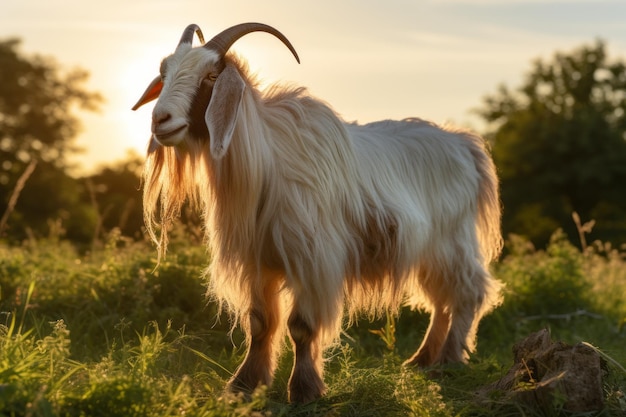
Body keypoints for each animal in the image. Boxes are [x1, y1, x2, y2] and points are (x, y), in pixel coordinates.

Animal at [132, 22, 502, 404]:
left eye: (209, 76)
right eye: (164, 73)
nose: (160, 119)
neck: (268, 162)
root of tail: (464, 144)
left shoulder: (312, 259)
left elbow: (301, 326)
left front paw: (305, 389)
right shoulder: (259, 260)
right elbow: (260, 323)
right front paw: (244, 385)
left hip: (452, 241)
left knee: (468, 292)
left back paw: (450, 359)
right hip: (429, 251)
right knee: (441, 300)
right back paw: (423, 360)